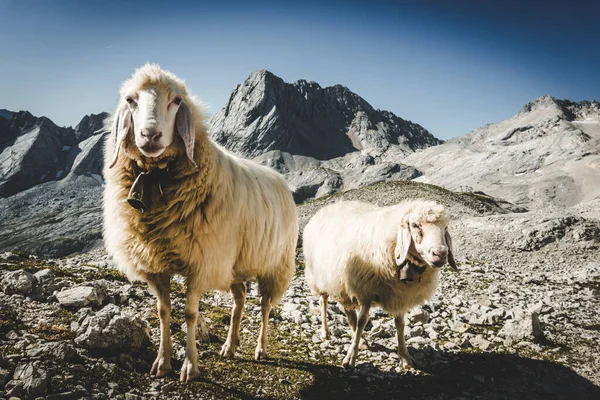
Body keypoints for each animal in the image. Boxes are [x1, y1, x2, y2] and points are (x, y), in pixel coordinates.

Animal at [302, 200, 458, 368]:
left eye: (445, 227)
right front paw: (350, 357)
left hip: (341, 283)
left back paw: (362, 340)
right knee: (323, 301)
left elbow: (400, 324)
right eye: (415, 225)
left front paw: (405, 356)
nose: (440, 254)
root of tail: (326, 208)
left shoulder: (399, 295)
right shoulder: (366, 291)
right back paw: (325, 332)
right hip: (319, 276)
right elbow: (362, 322)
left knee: (348, 310)